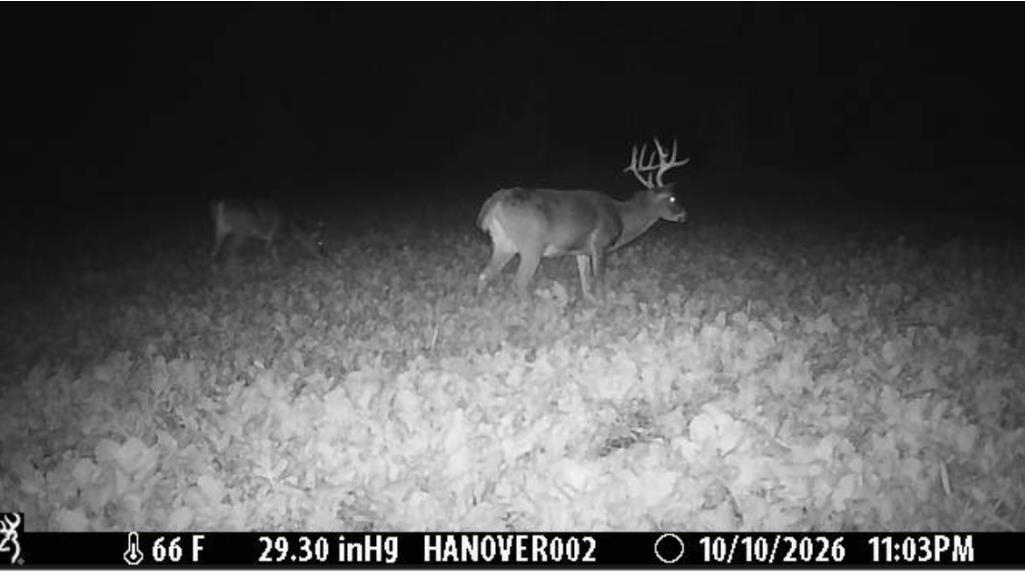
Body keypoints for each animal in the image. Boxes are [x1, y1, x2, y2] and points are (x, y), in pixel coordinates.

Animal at [475, 137, 690, 303]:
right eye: (673, 198)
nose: (684, 215)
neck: (622, 215)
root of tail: (496, 201)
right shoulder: (600, 244)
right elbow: (599, 279)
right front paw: (604, 306)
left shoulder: (581, 251)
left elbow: (585, 282)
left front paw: (591, 304)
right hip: (531, 244)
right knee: (518, 282)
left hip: (503, 242)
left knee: (485, 274)